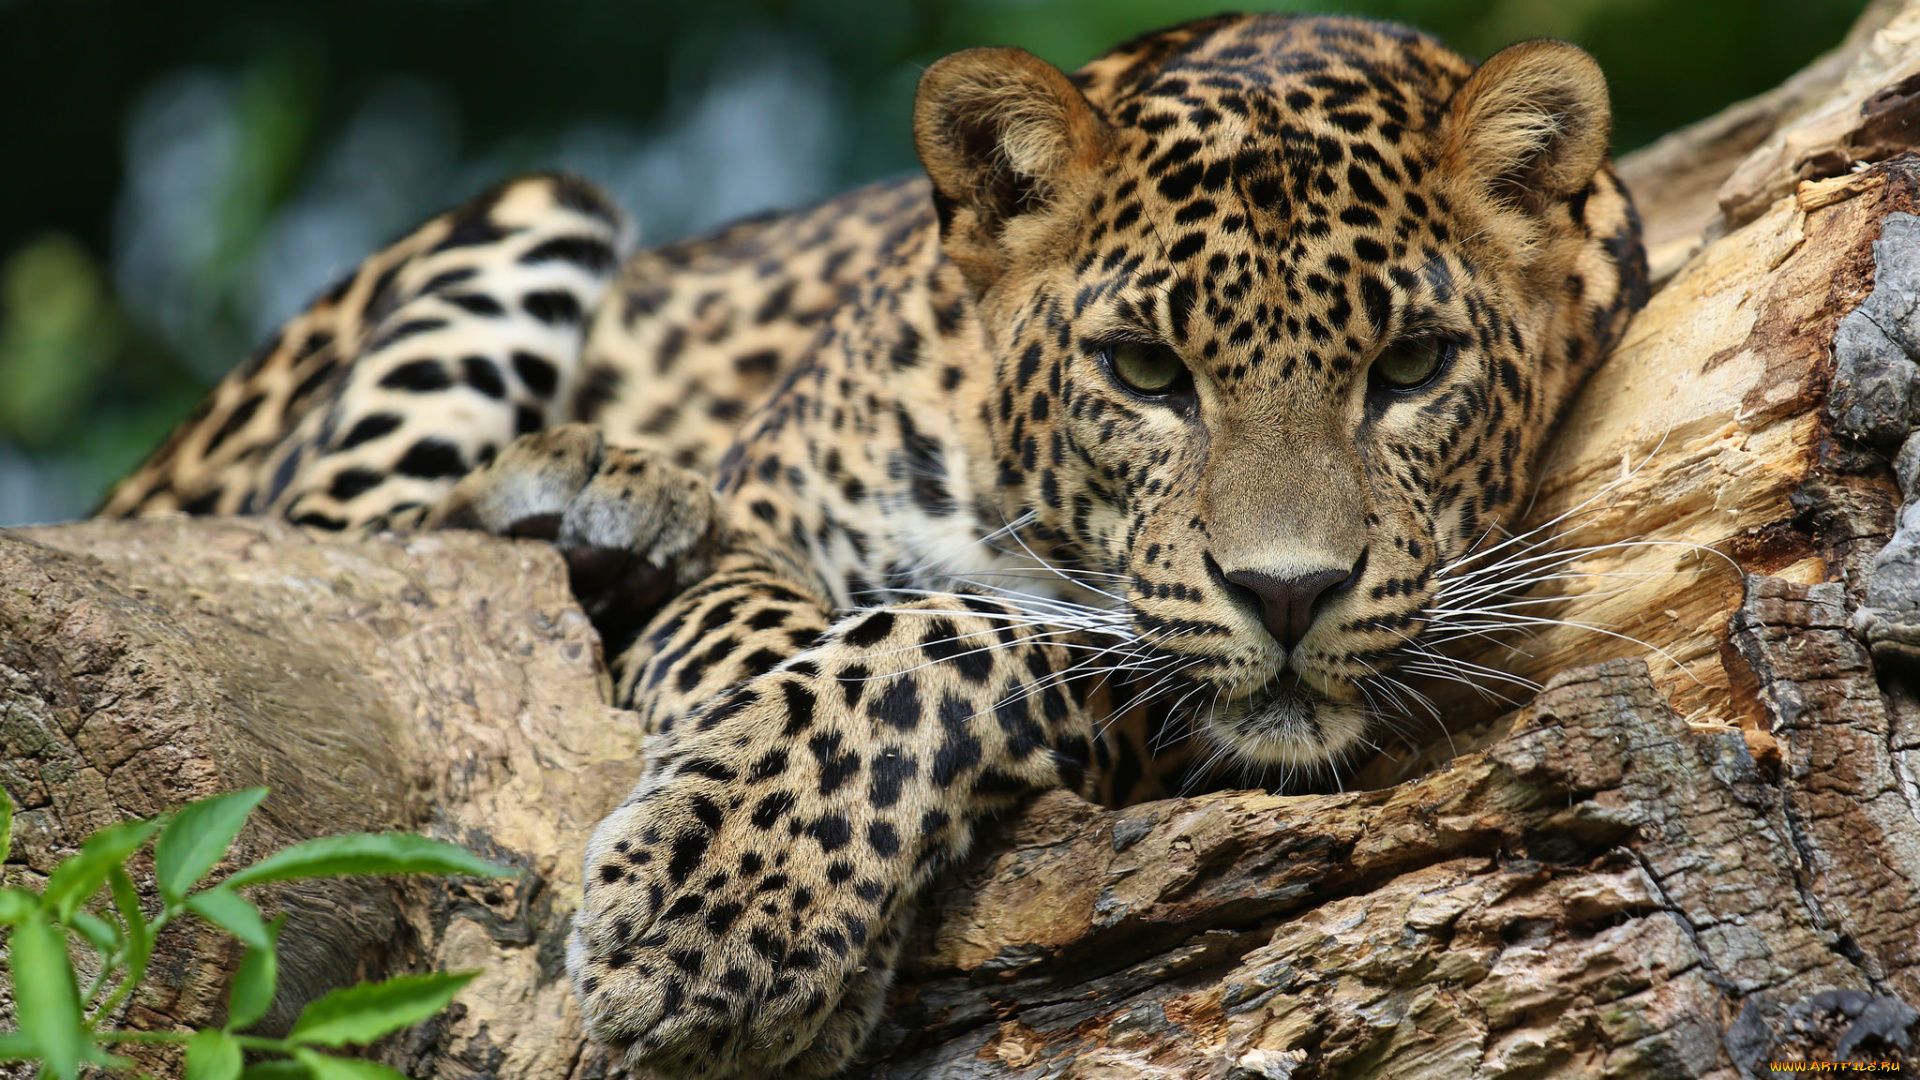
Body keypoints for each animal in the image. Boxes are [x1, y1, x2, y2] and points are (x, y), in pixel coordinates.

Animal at [99, 13, 1647, 1078]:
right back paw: (584, 487)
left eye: (1414, 366)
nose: (1290, 593)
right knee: (329, 543)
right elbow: (777, 644)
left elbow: (943, 641)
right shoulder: (762, 523)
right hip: (525, 220)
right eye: (1146, 371)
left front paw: (732, 910)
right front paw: (734, 885)